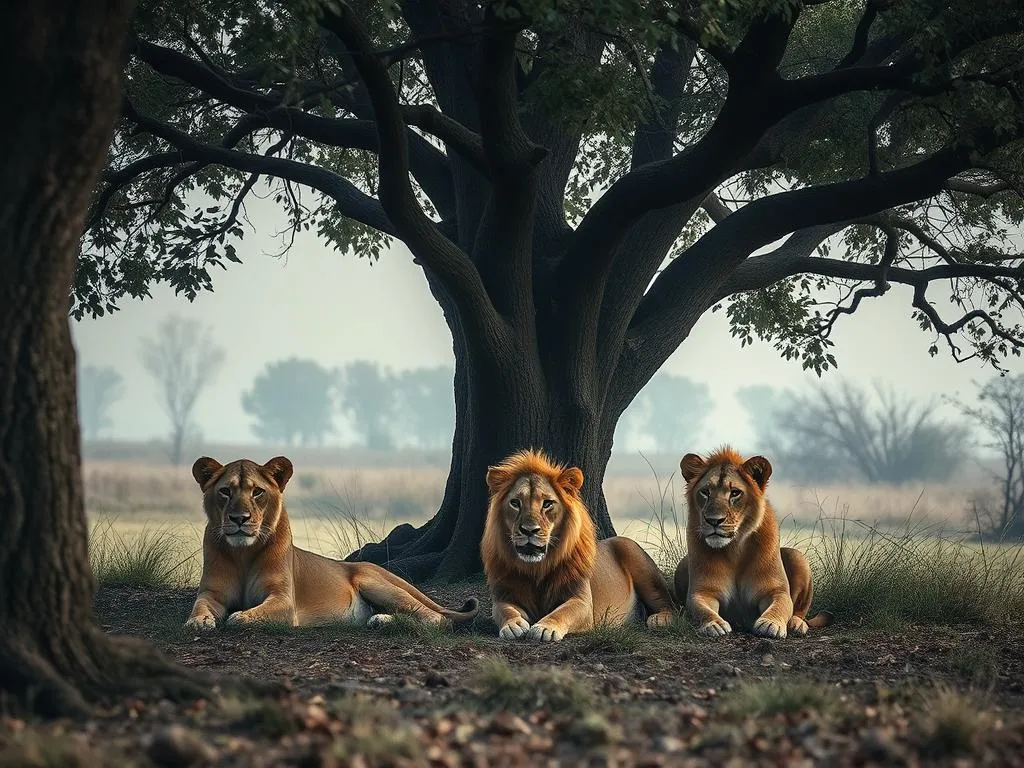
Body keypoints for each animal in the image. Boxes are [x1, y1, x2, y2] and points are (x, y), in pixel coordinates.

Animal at [183, 456, 479, 630]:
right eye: (225, 491)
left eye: (257, 492)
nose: (239, 519)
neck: (243, 553)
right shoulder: (211, 592)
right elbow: (200, 605)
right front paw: (197, 621)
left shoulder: (284, 601)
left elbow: (248, 616)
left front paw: (240, 616)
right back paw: (380, 619)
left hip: (375, 584)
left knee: (438, 618)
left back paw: (384, 621)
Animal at [481, 450, 679, 643]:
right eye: (515, 503)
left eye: (547, 504)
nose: (529, 530)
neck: (537, 568)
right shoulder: (504, 595)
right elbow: (504, 610)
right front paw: (512, 625)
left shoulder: (582, 601)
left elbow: (563, 612)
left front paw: (545, 627)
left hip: (636, 560)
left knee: (670, 604)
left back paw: (659, 619)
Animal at [671, 448, 831, 638]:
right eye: (705, 492)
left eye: (735, 493)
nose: (713, 520)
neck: (734, 549)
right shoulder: (702, 592)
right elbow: (701, 609)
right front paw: (713, 624)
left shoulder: (776, 590)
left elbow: (782, 606)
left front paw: (770, 624)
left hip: (797, 556)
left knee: (800, 612)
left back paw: (797, 624)